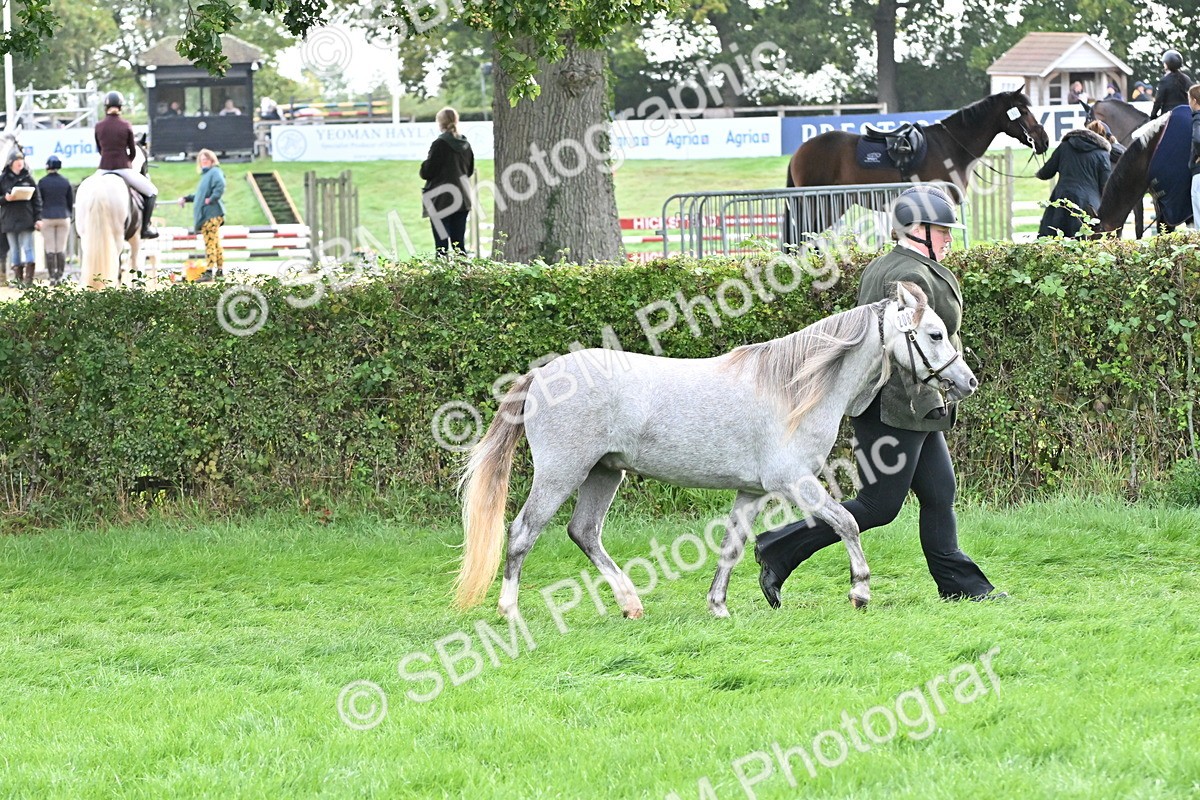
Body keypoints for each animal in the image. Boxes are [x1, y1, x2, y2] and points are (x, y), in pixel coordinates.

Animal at [74, 136, 151, 290]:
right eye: (146, 160)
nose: (147, 175)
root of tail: (100, 189)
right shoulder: (136, 237)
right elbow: (134, 264)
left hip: (86, 237)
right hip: (117, 237)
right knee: (117, 266)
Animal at [454, 282, 979, 620]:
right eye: (934, 334)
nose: (967, 381)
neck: (793, 389)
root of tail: (542, 375)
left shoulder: (753, 492)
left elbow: (732, 546)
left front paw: (719, 607)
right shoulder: (795, 482)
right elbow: (847, 522)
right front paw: (861, 592)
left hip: (605, 473)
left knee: (583, 532)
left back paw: (630, 604)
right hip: (562, 473)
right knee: (522, 533)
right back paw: (510, 613)